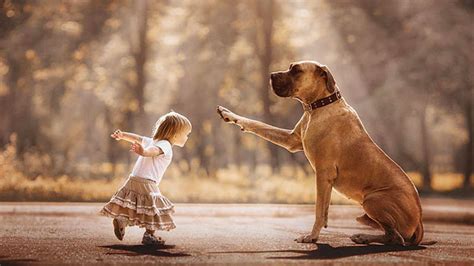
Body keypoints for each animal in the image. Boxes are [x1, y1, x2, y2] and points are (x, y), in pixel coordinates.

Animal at [217, 60, 424, 245]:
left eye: (296, 70)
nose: (271, 75)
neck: (318, 106)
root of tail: (420, 220)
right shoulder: (291, 140)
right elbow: (258, 124)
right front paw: (229, 114)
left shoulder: (323, 174)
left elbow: (318, 209)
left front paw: (312, 236)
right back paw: (363, 236)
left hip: (372, 200)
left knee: (396, 238)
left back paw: (364, 237)